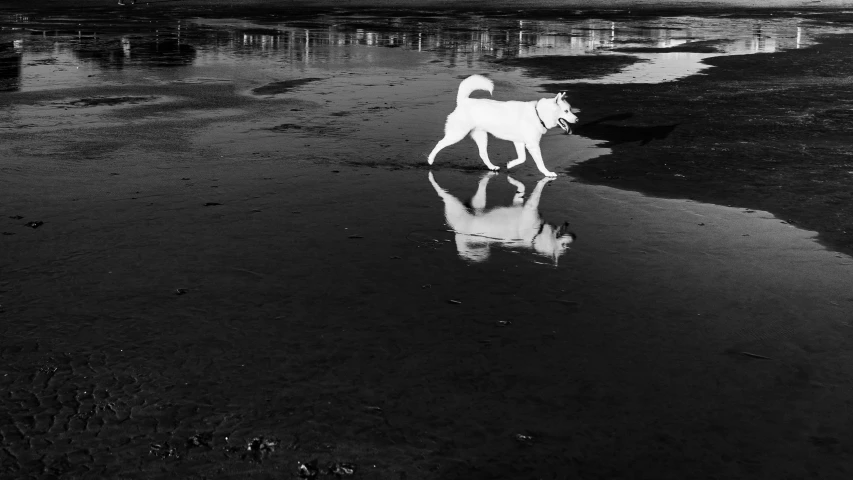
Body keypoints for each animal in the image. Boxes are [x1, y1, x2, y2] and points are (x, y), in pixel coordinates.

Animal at [426, 76, 580, 177]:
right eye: (566, 111)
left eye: (570, 110)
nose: (577, 119)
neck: (538, 114)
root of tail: (463, 101)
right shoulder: (532, 145)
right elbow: (540, 163)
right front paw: (547, 173)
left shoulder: (519, 142)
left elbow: (522, 158)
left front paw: (510, 164)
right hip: (457, 134)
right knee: (440, 143)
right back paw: (430, 160)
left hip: (481, 137)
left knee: (483, 154)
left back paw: (492, 167)